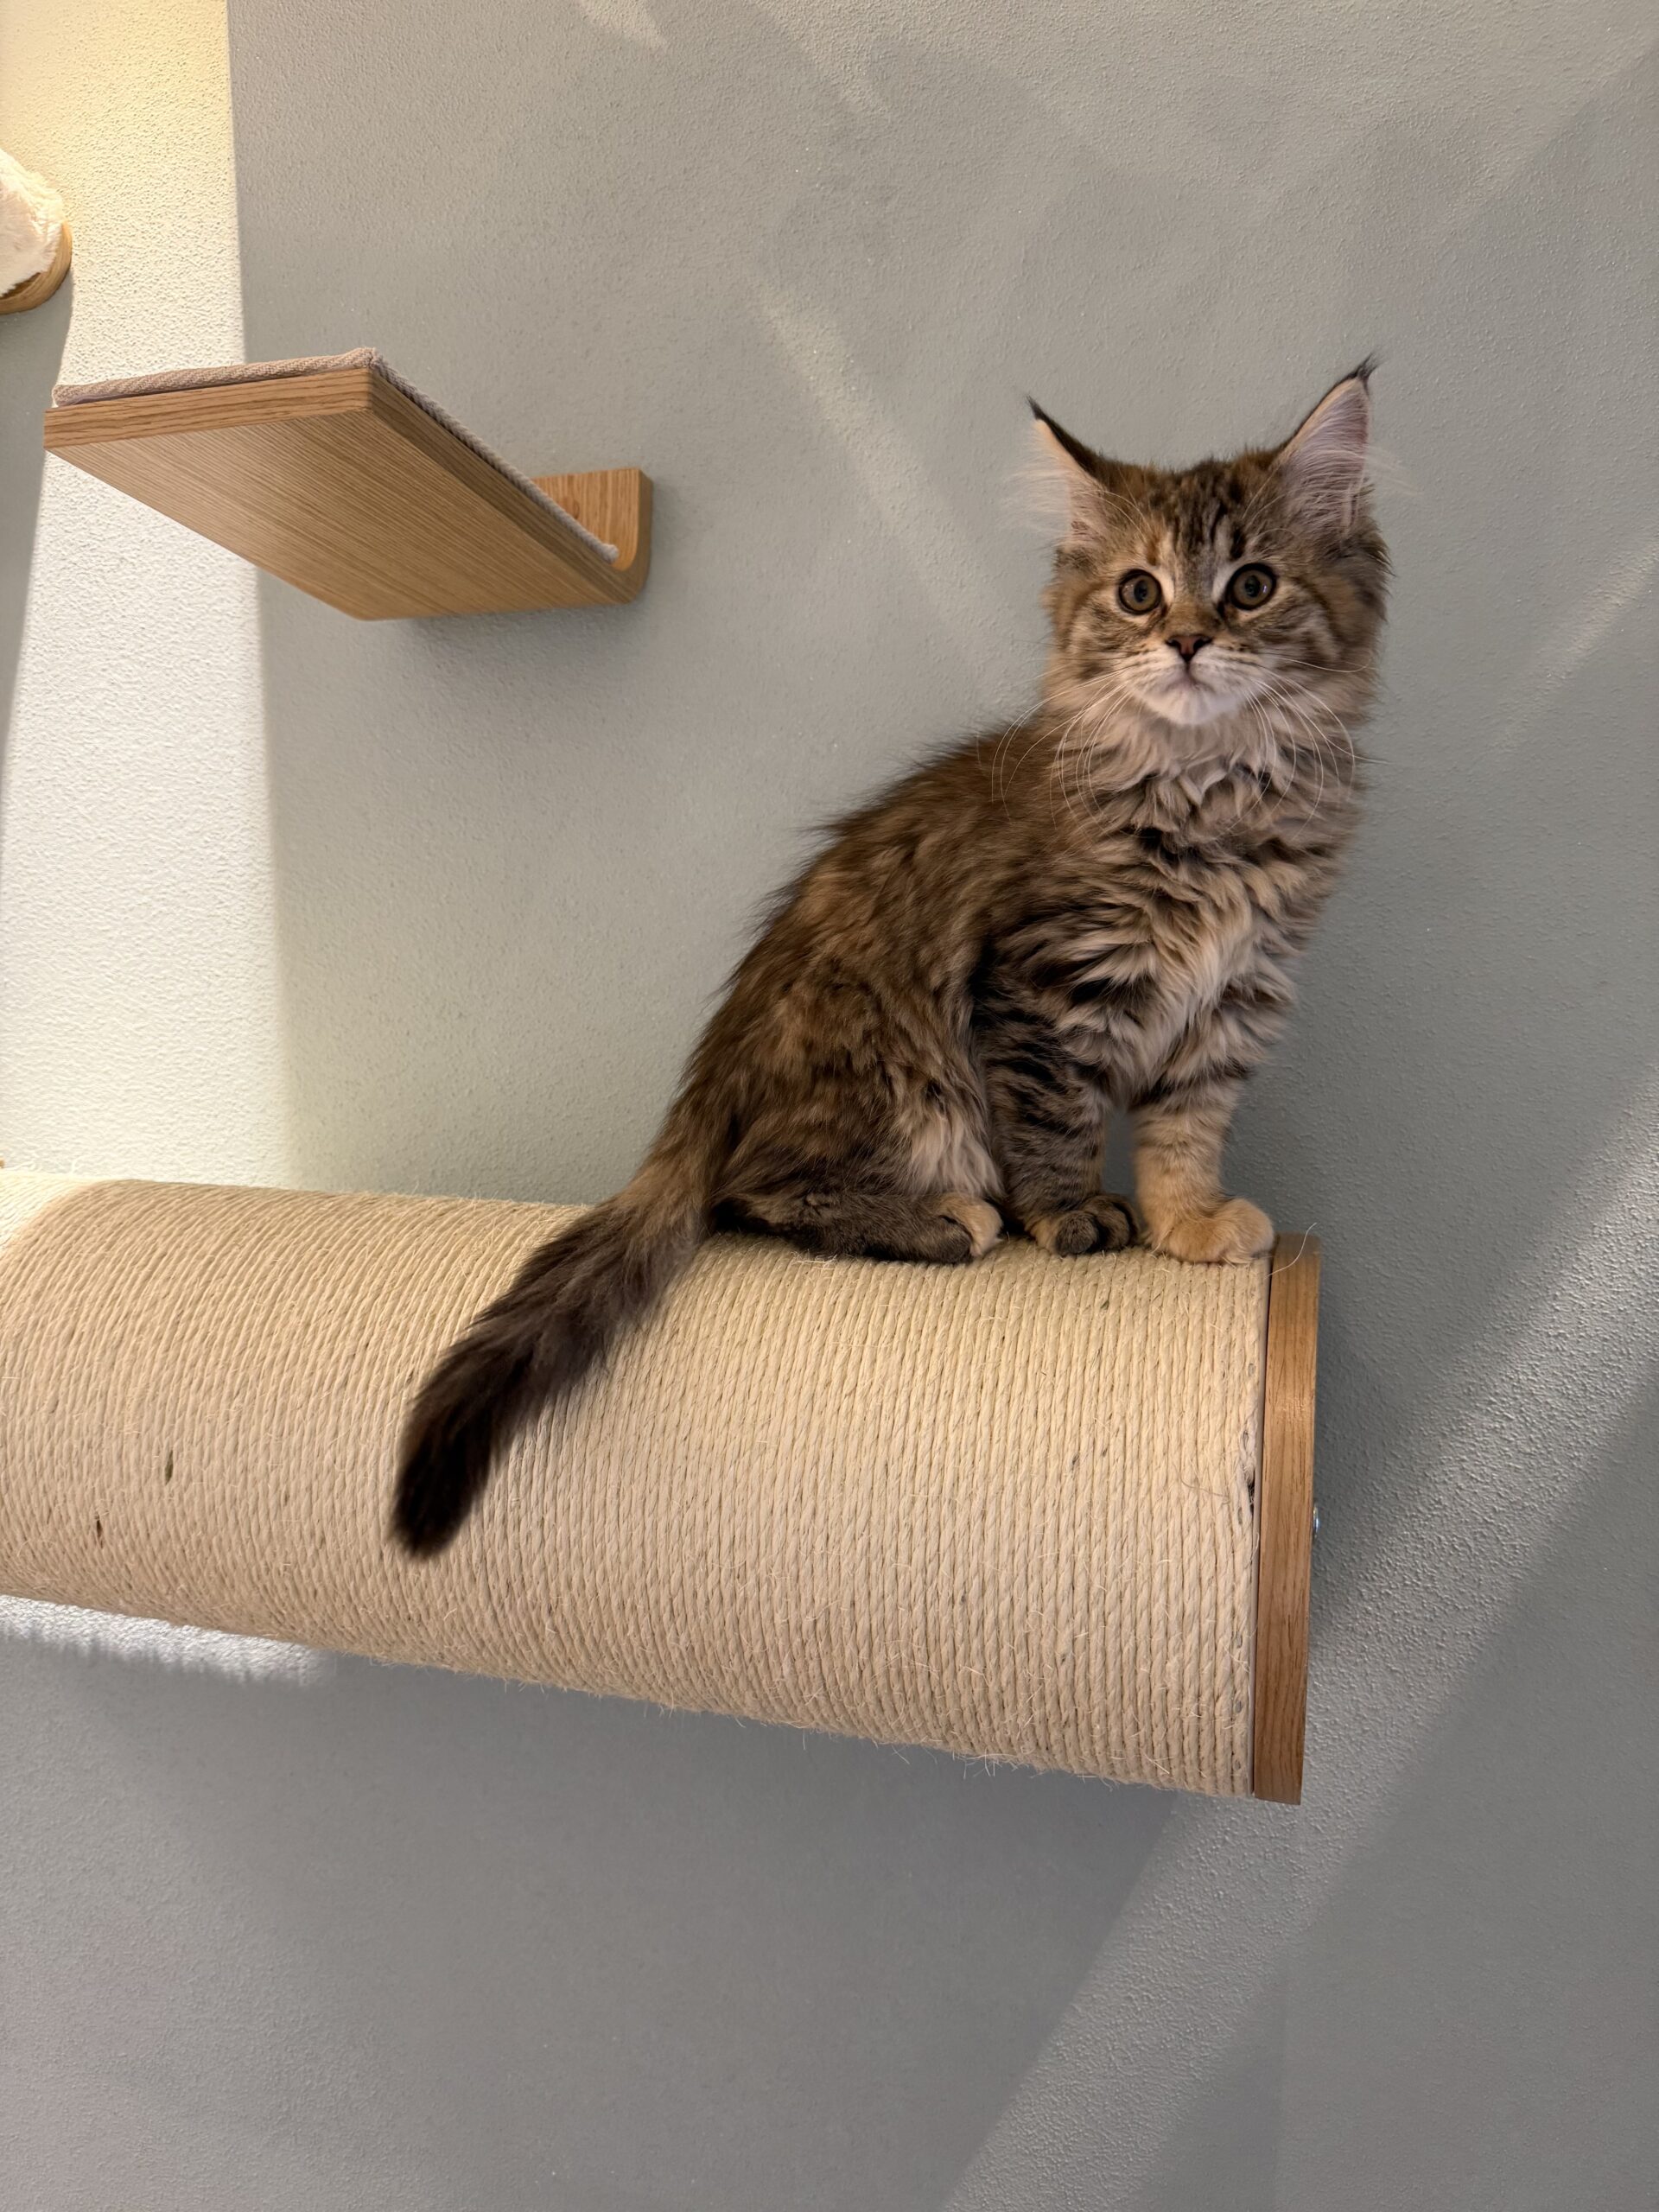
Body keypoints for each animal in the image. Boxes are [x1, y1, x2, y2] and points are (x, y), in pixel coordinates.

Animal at [393, 365, 1386, 1556]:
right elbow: (1056, 1121)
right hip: (895, 1073)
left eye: (1251, 587)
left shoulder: (1230, 1004)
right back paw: (948, 1218)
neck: (1211, 789)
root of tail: (709, 1079)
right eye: (1141, 594)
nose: (1188, 642)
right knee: (754, 1193)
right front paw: (1072, 1215)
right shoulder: (1044, 987)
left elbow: (1185, 1128)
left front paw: (1187, 1219)